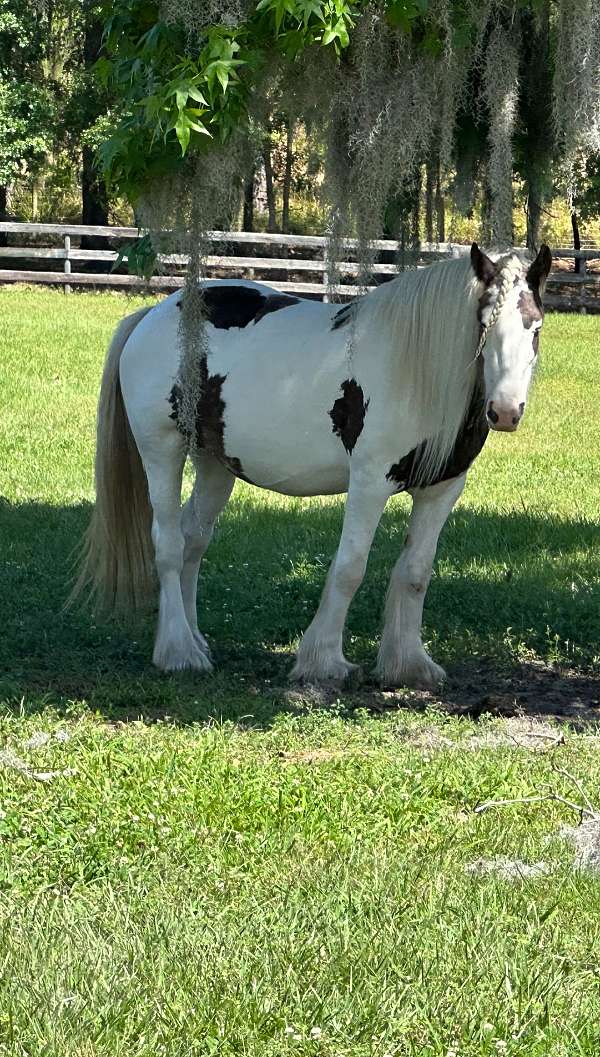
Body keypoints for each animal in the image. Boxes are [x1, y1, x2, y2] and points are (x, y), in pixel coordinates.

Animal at [77, 240, 549, 689]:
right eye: (484, 326)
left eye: (536, 328)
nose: (505, 411)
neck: (416, 372)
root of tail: (151, 315)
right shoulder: (369, 484)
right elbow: (349, 568)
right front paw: (323, 661)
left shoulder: (442, 490)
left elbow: (416, 573)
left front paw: (409, 666)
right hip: (163, 452)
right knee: (170, 545)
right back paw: (178, 652)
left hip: (214, 466)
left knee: (194, 539)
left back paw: (194, 639)